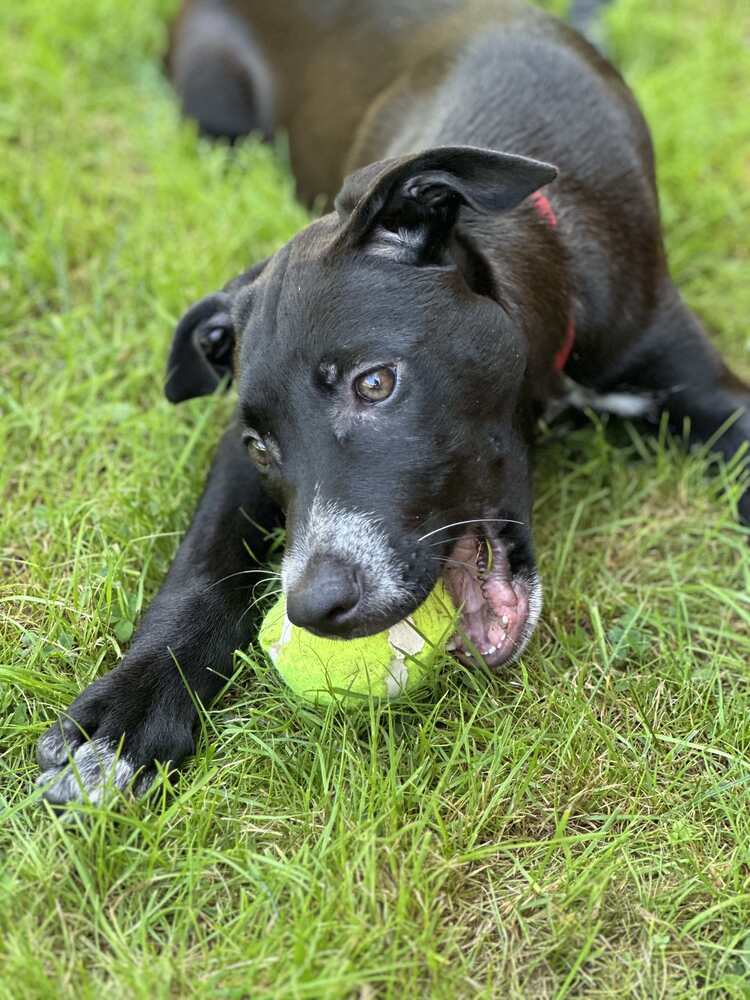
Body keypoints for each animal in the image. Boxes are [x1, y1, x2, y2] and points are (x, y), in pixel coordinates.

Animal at [36, 0, 750, 804]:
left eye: (374, 384)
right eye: (260, 445)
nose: (312, 609)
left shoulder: (707, 388)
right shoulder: (230, 457)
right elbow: (202, 565)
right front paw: (127, 715)